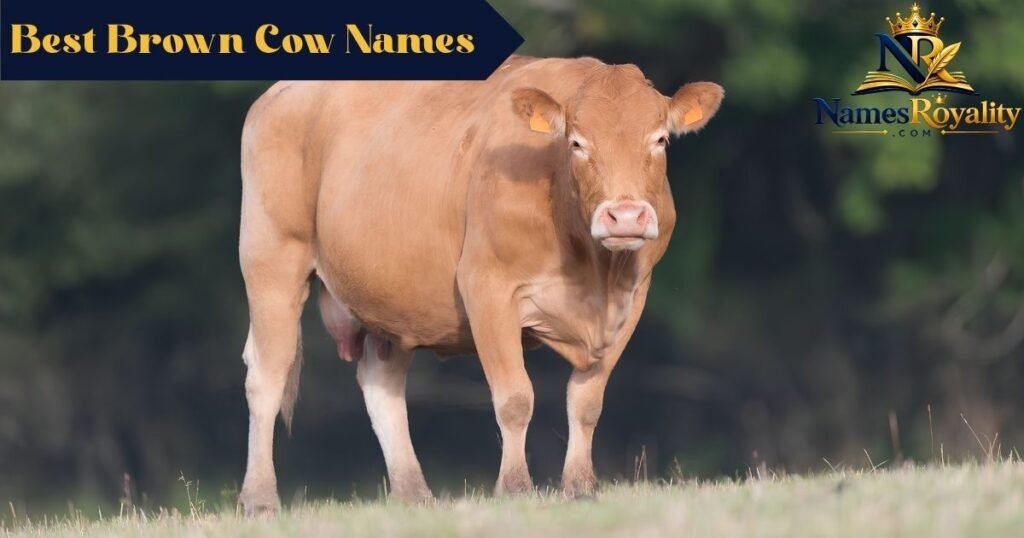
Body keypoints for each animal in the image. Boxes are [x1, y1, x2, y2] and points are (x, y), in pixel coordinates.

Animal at [237, 55, 723, 514]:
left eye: (660, 139)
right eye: (577, 143)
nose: (625, 217)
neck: (594, 271)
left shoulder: (632, 299)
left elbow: (586, 402)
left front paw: (581, 486)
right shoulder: (488, 286)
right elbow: (515, 397)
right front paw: (515, 487)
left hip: (390, 295)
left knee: (381, 384)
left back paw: (414, 493)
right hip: (272, 261)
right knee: (267, 375)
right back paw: (259, 498)